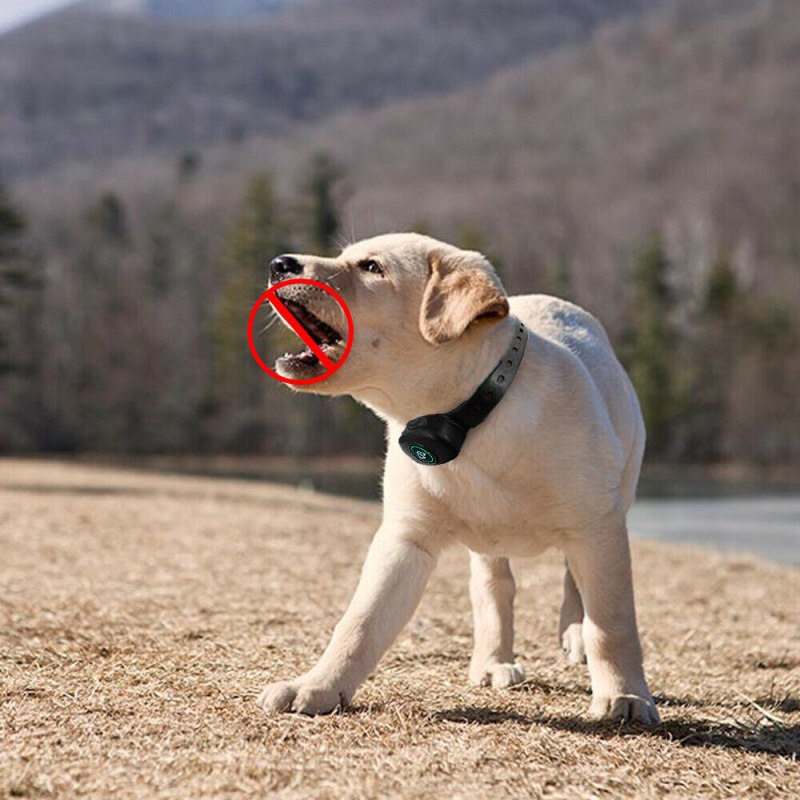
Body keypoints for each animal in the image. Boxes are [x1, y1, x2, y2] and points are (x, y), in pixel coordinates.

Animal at [260, 233, 660, 724]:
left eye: (372, 267)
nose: (279, 263)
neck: (467, 417)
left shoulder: (597, 525)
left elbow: (612, 621)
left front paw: (625, 696)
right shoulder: (405, 538)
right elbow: (360, 622)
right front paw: (317, 687)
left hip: (616, 492)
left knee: (573, 579)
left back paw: (573, 634)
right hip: (489, 543)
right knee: (495, 590)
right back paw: (492, 663)